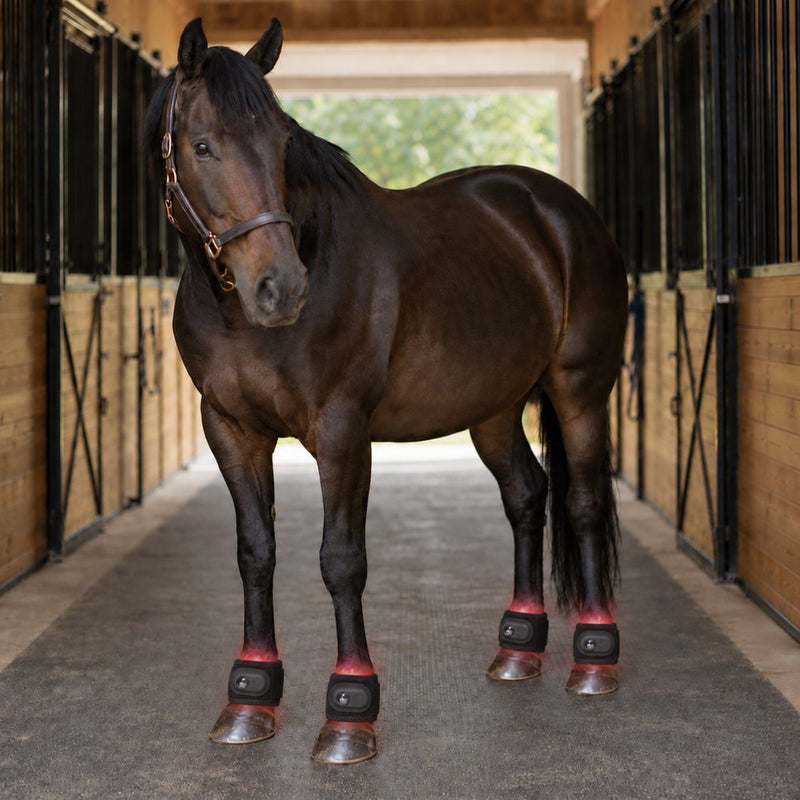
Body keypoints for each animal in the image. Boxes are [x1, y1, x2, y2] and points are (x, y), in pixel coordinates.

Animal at [145, 17, 628, 764]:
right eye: (202, 146)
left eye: (282, 143)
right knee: (526, 495)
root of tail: (560, 211)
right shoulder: (229, 428)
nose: (280, 288)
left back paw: (594, 656)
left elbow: (342, 560)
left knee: (581, 502)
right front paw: (249, 698)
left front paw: (349, 711)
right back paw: (518, 648)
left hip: (579, 392)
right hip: (492, 410)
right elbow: (256, 552)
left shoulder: (343, 431)